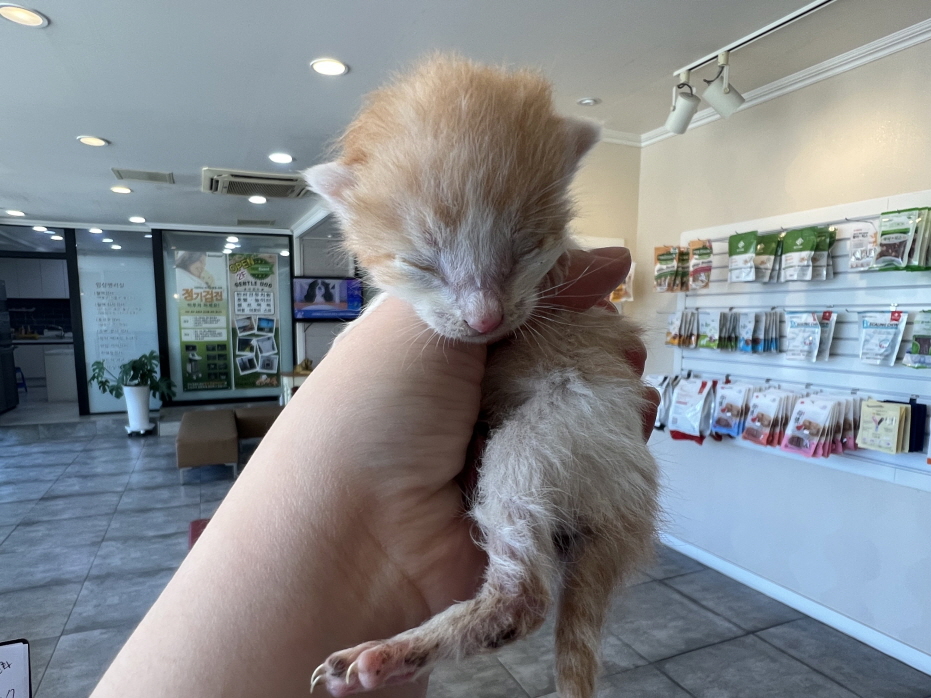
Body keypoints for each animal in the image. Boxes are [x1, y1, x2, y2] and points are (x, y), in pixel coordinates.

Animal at [304, 54, 656, 696]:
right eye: (423, 262)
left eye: (525, 249)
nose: (485, 319)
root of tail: (625, 511)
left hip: (547, 437)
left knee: (526, 595)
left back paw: (388, 652)